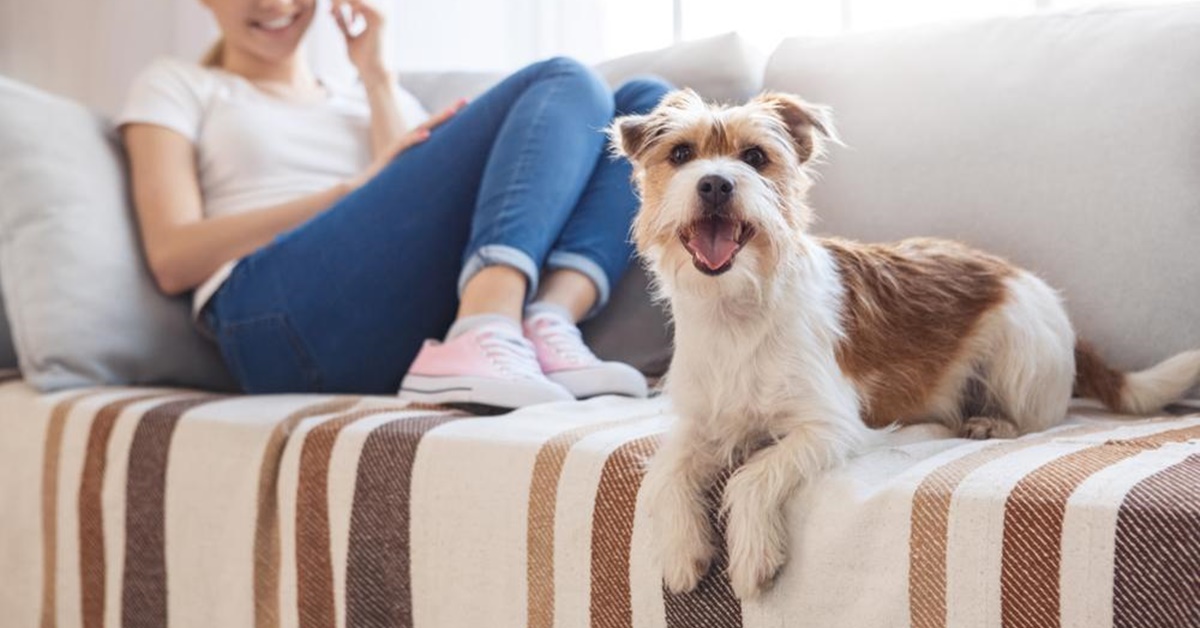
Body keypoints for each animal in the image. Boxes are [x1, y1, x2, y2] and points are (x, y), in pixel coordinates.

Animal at [609, 87, 1200, 600]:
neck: (736, 308)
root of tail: (1025, 279)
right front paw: (682, 550)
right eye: (681, 154)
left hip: (1018, 351)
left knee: (1039, 416)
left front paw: (752, 553)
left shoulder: (829, 425)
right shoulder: (700, 424)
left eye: (755, 157)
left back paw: (991, 422)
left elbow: (754, 474)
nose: (714, 185)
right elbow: (665, 472)